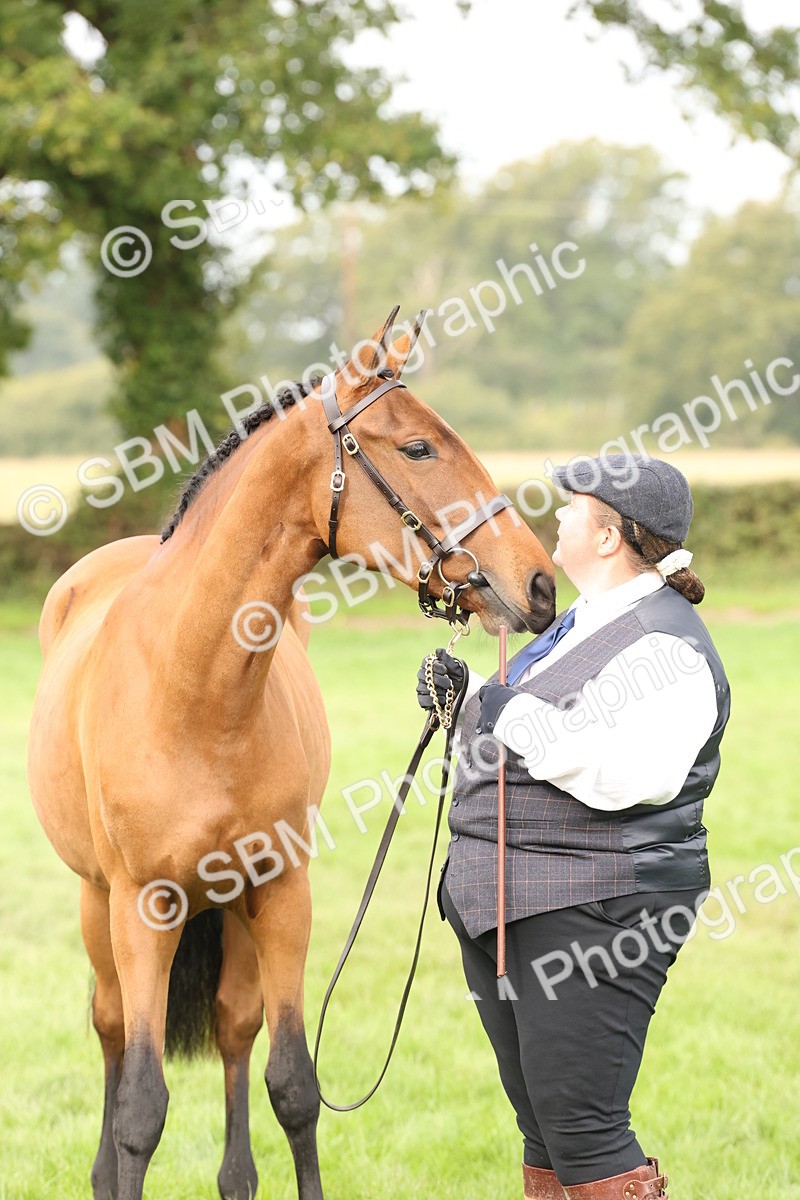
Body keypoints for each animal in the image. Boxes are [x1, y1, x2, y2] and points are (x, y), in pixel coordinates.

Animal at [27, 307, 556, 1200]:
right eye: (418, 447)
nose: (541, 583)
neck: (197, 693)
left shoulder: (282, 896)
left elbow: (293, 1087)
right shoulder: (141, 906)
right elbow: (140, 1110)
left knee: (236, 1031)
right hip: (98, 907)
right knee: (109, 1028)